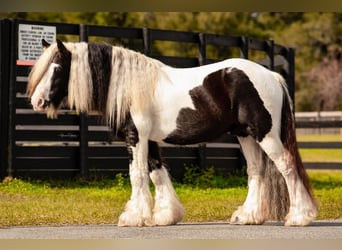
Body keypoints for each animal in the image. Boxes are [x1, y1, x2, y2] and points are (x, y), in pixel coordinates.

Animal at [26, 38, 318, 227]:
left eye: (57, 68)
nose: (36, 102)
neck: (129, 87)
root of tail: (272, 76)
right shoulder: (150, 140)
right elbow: (157, 173)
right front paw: (166, 216)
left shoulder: (136, 138)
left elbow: (138, 174)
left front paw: (134, 217)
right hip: (245, 135)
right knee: (257, 171)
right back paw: (249, 216)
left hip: (265, 134)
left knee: (287, 166)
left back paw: (299, 217)